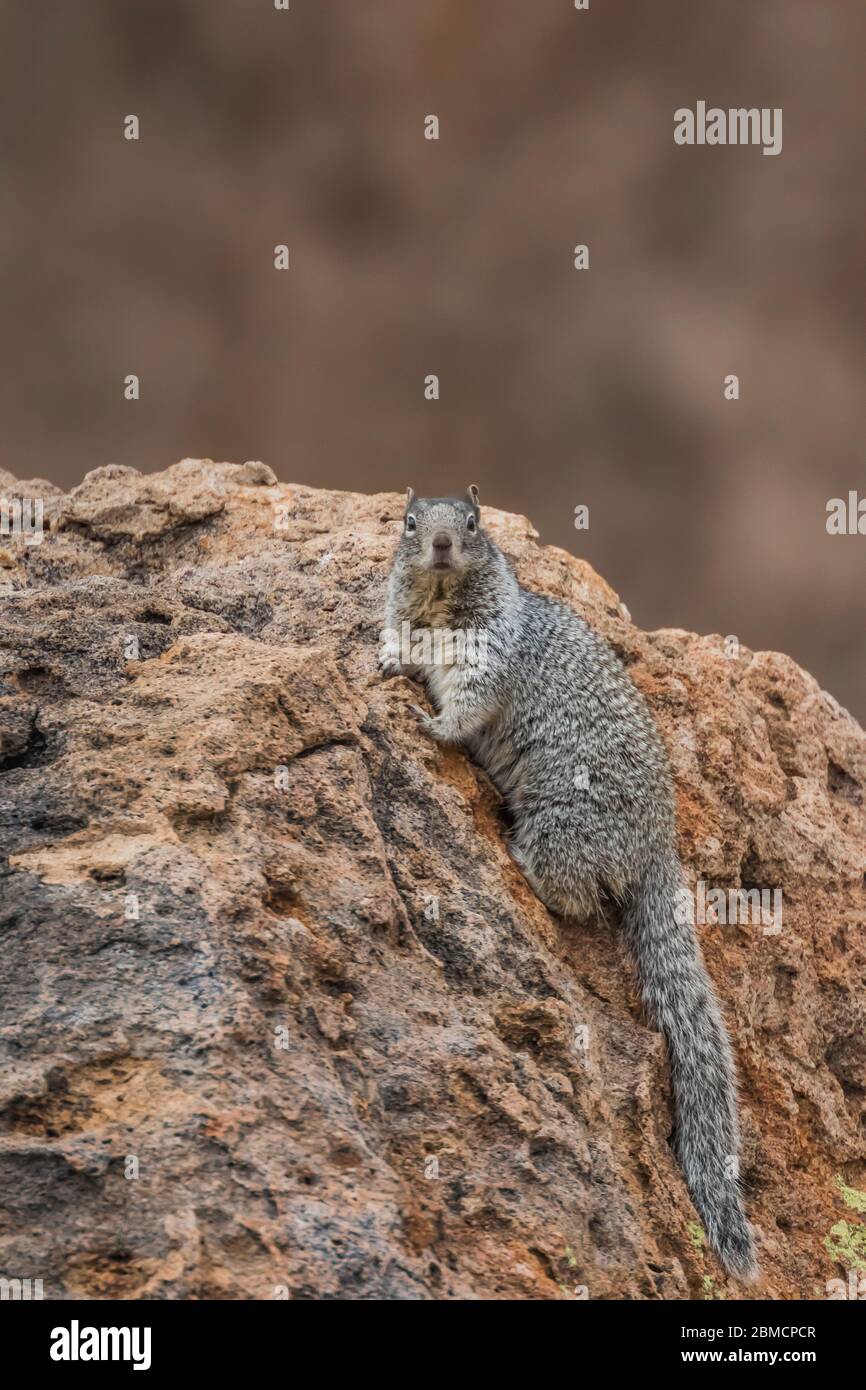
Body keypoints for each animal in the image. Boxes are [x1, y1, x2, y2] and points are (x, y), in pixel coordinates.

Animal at [380, 486, 756, 1281]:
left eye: (472, 523)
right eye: (408, 522)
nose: (439, 545)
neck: (441, 599)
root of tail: (657, 847)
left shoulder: (486, 654)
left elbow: (469, 701)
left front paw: (433, 727)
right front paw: (389, 672)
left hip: (564, 825)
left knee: (578, 894)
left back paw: (522, 862)